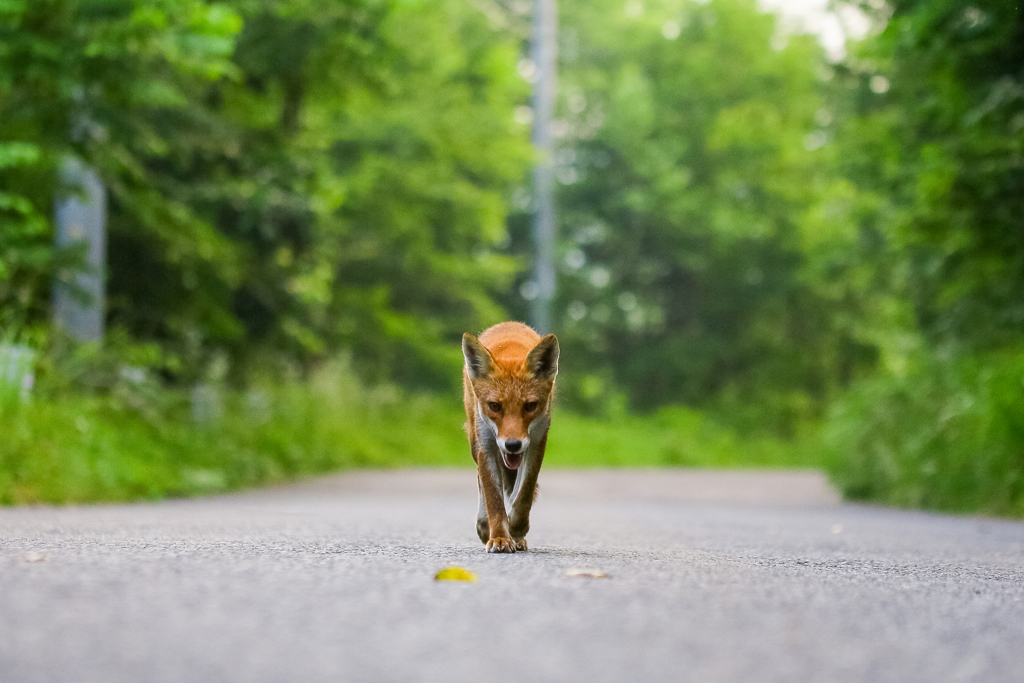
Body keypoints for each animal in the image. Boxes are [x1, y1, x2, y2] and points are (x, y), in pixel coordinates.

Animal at [464, 323, 561, 552]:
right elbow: (494, 498)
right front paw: (499, 537)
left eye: (530, 406)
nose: (513, 444)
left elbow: (523, 496)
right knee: (481, 483)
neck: (510, 352)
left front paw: (516, 529)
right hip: (474, 441)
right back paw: (485, 527)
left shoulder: (536, 442)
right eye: (494, 406)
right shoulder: (486, 444)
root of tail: (508, 324)